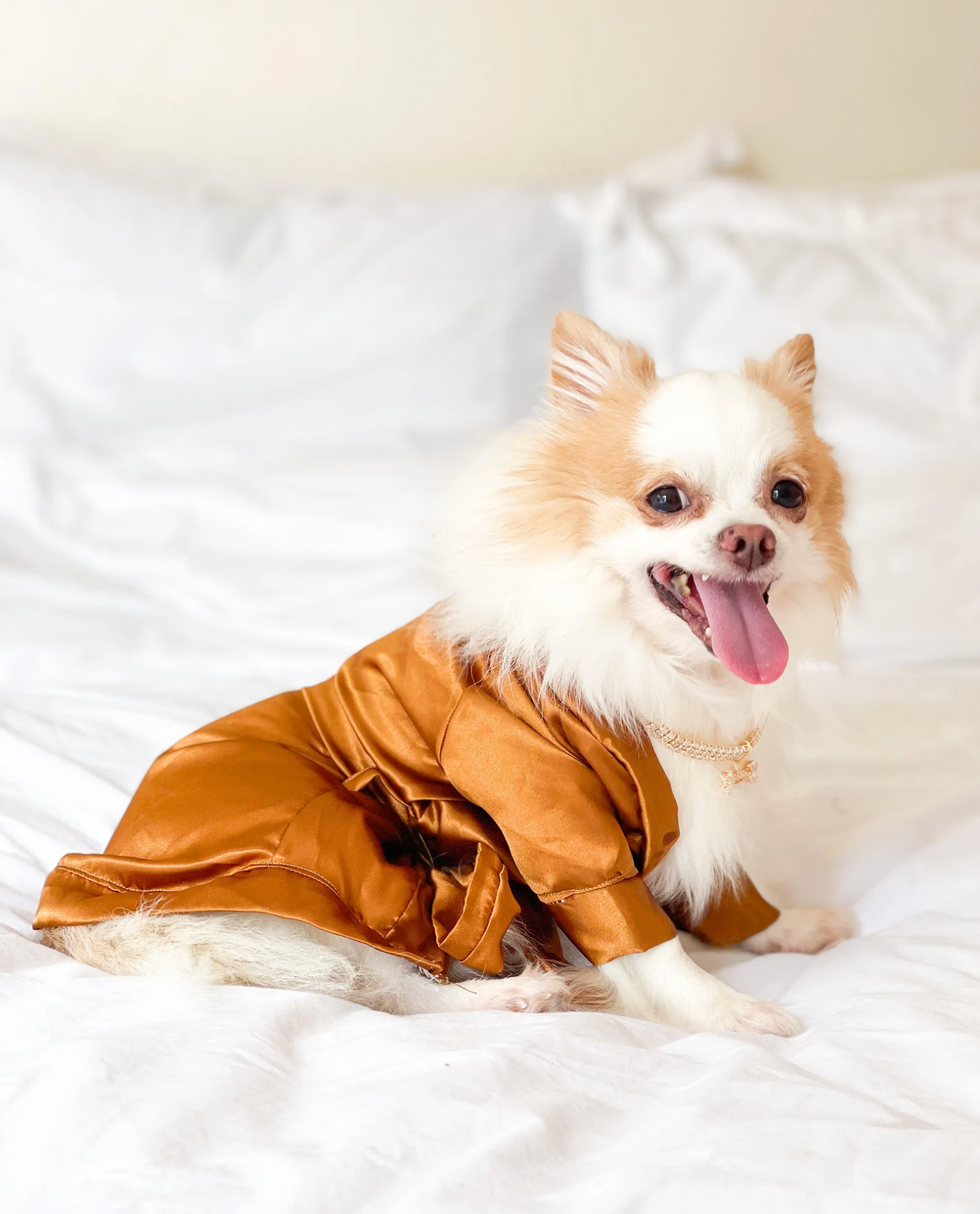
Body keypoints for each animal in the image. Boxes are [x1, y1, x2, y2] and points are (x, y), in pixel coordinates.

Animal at [40, 313, 854, 1034]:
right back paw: (516, 996)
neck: (659, 666)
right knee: (388, 988)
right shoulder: (556, 823)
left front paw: (785, 925)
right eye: (666, 499)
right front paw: (728, 1012)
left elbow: (724, 891)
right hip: (355, 850)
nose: (751, 538)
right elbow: (640, 937)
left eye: (787, 495)